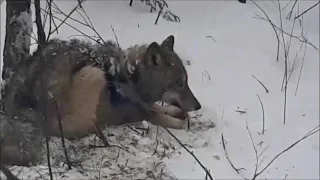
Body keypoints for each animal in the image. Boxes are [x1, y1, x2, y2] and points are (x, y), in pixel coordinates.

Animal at [25, 35, 201, 139]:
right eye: (179, 83)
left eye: (186, 82)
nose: (198, 106)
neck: (130, 78)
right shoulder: (135, 110)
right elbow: (156, 115)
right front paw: (182, 122)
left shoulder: (141, 103)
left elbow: (157, 107)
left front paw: (176, 112)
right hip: (94, 73)